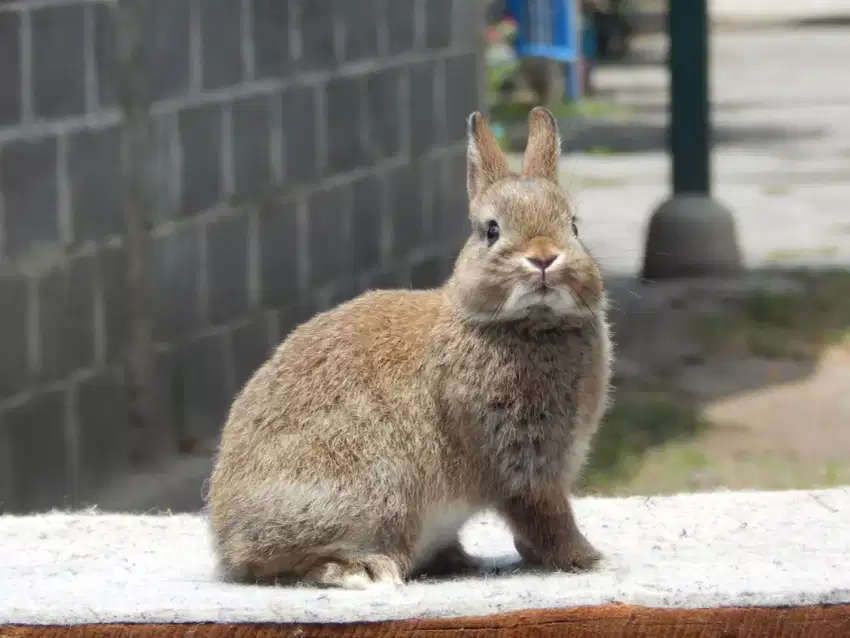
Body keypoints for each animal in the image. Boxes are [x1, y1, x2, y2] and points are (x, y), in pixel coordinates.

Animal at [209, 106, 612, 592]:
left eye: (573, 226)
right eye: (491, 231)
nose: (544, 257)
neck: (527, 325)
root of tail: (225, 543)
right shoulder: (525, 465)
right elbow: (546, 518)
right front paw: (588, 558)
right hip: (376, 498)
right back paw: (363, 570)